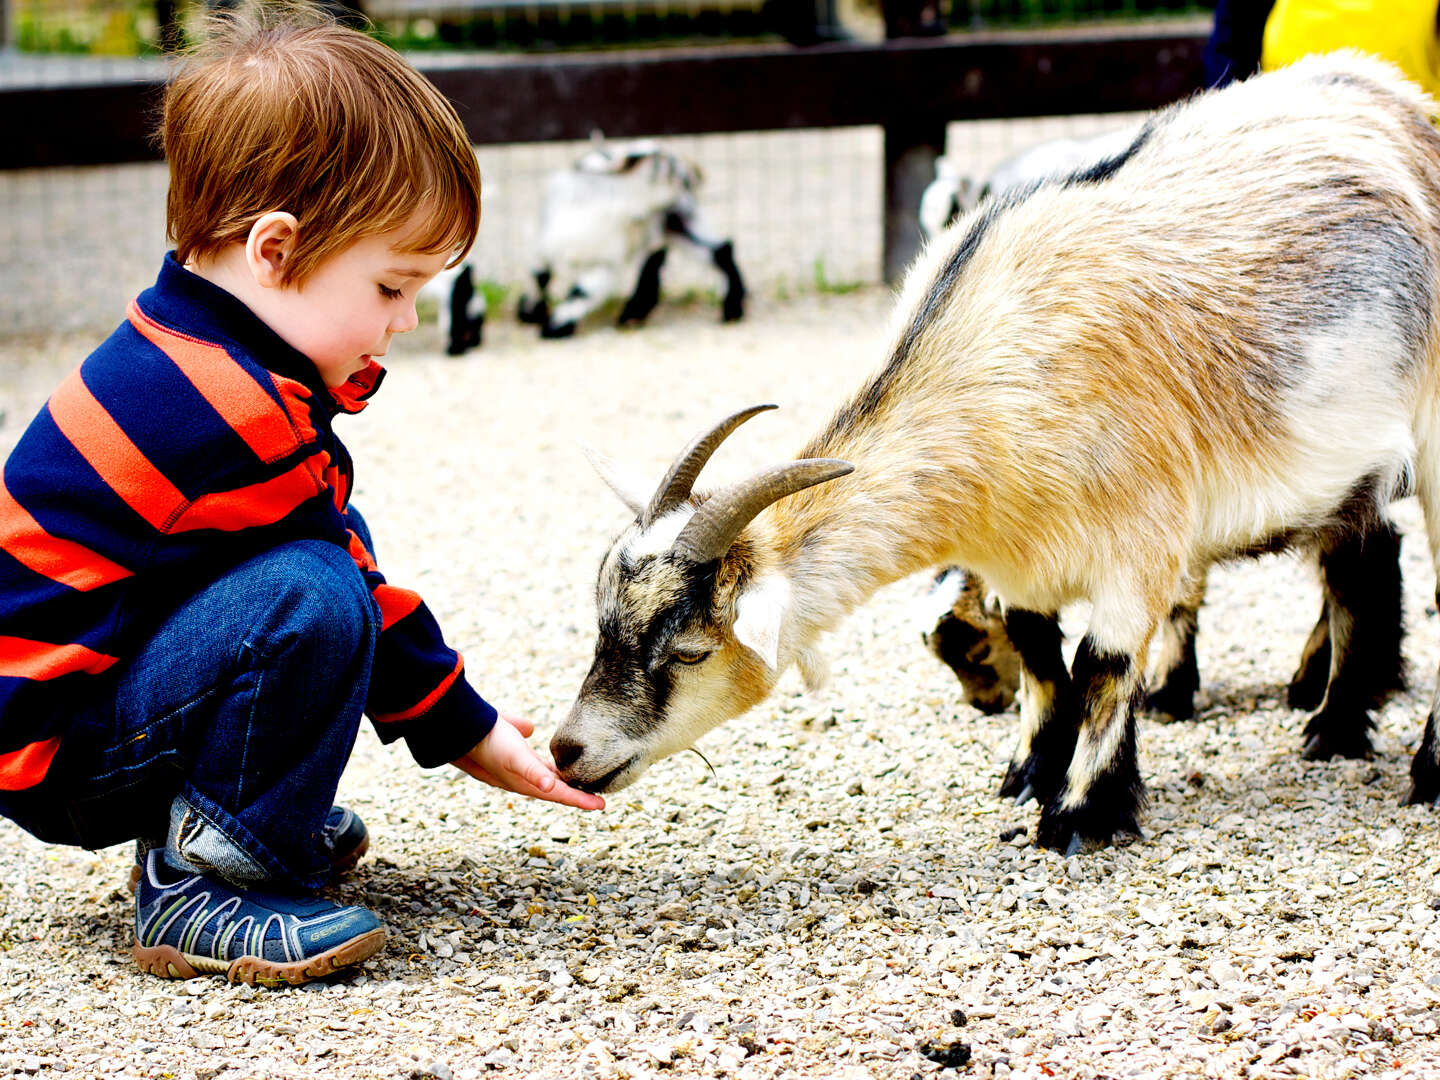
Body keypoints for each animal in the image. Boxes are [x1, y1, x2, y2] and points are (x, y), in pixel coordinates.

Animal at [552, 55, 1440, 858]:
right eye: (600, 625)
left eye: (690, 650)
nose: (568, 751)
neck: (993, 379)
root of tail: (1399, 97)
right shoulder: (1019, 561)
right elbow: (1043, 658)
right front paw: (1029, 775)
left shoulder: (1141, 545)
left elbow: (1102, 664)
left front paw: (1080, 816)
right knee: (1360, 559)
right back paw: (1334, 723)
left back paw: (1415, 767)